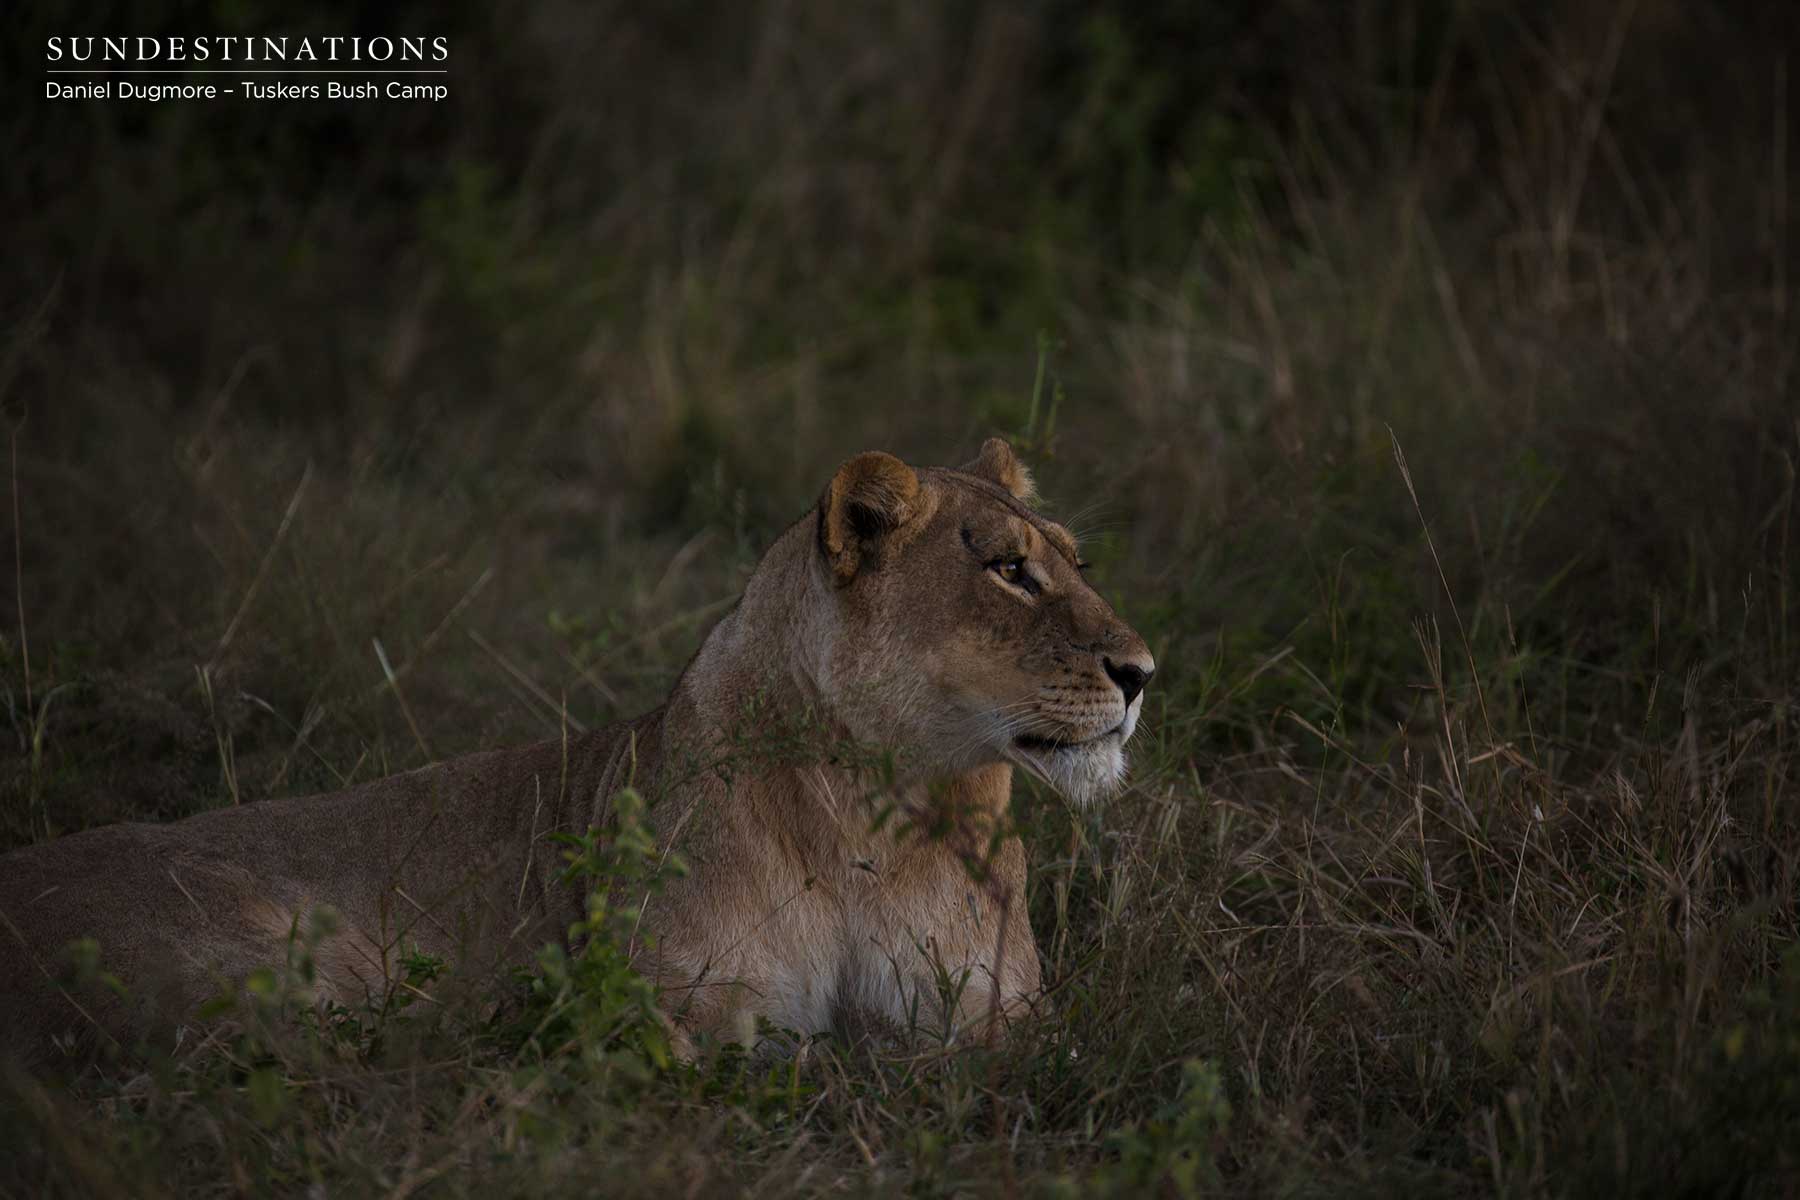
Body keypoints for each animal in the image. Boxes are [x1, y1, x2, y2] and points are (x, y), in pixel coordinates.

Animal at [0, 440, 1155, 1065]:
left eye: (1077, 562)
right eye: (1008, 571)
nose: (1144, 671)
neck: (881, 812)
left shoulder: (1000, 1020)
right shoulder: (677, 1005)